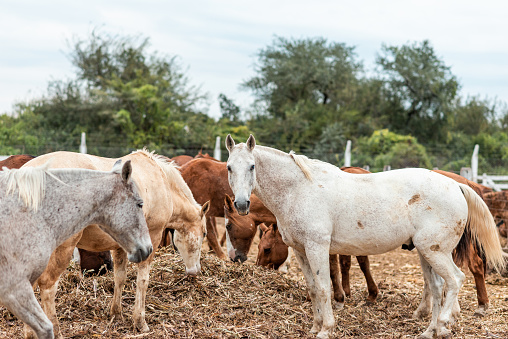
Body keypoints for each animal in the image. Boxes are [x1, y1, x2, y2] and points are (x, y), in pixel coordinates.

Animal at [22, 151, 209, 338]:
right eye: (204, 233)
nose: (195, 271)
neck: (162, 181)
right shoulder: (152, 238)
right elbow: (143, 281)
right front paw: (140, 321)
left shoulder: (122, 246)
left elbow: (120, 277)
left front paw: (116, 313)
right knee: (48, 286)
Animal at [226, 135, 504, 339]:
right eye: (229, 167)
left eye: (252, 166)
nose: (241, 204)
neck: (299, 189)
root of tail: (456, 185)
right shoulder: (301, 250)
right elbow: (313, 289)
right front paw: (315, 326)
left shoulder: (318, 248)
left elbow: (325, 287)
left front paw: (326, 329)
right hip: (428, 253)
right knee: (437, 288)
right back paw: (430, 330)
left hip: (435, 251)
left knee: (456, 280)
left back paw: (445, 323)